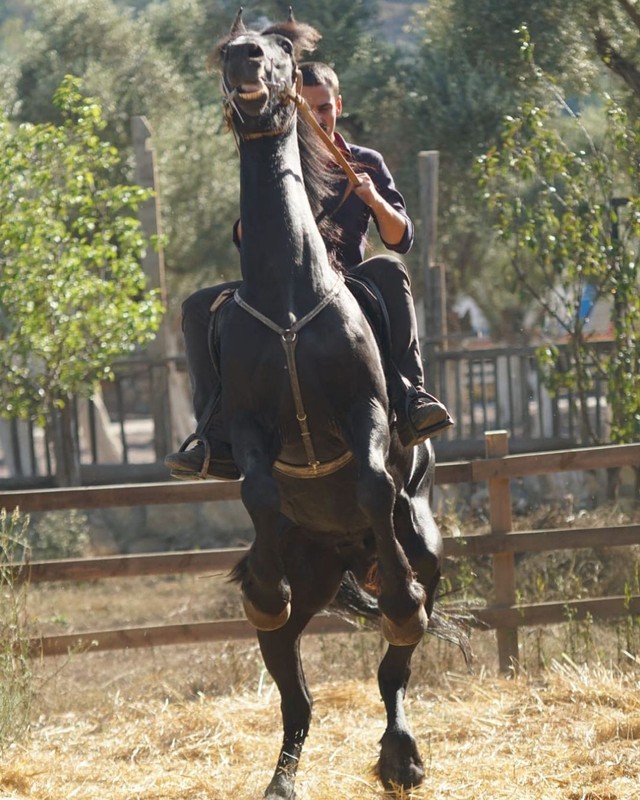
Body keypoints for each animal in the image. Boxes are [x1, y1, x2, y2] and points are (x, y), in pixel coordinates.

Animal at [210, 12, 450, 800]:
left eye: (282, 49)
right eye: (227, 48)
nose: (244, 58)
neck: (291, 296)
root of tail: (345, 553)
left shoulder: (363, 411)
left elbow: (373, 481)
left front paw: (398, 602)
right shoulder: (249, 426)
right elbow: (256, 488)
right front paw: (265, 589)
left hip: (426, 551)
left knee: (395, 665)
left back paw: (401, 755)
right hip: (306, 578)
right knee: (297, 694)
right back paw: (282, 779)